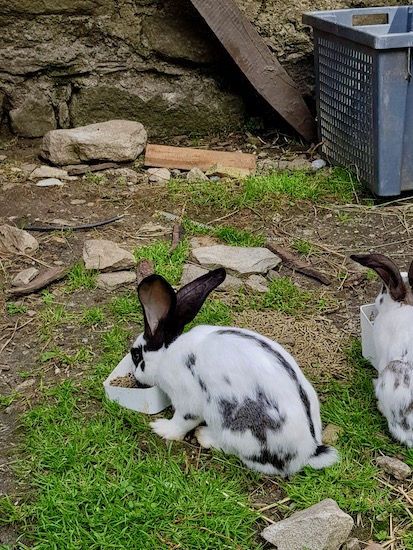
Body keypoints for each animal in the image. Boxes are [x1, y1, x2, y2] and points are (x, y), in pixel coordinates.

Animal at [131, 268, 338, 478]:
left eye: (136, 355)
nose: (135, 377)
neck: (168, 352)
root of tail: (308, 452)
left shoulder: (187, 399)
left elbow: (182, 421)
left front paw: (161, 428)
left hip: (235, 428)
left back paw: (204, 436)